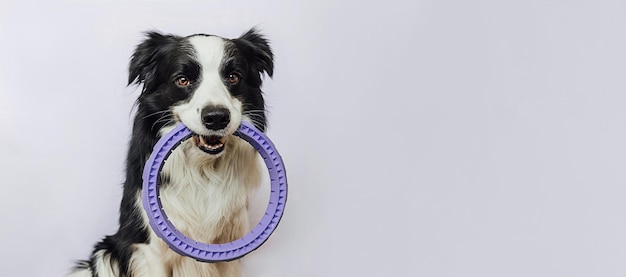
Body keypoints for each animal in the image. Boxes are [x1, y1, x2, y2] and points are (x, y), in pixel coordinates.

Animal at [69, 28, 272, 276]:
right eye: (182, 80)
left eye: (233, 77)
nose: (216, 117)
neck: (203, 169)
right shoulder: (150, 249)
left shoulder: (230, 247)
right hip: (106, 253)